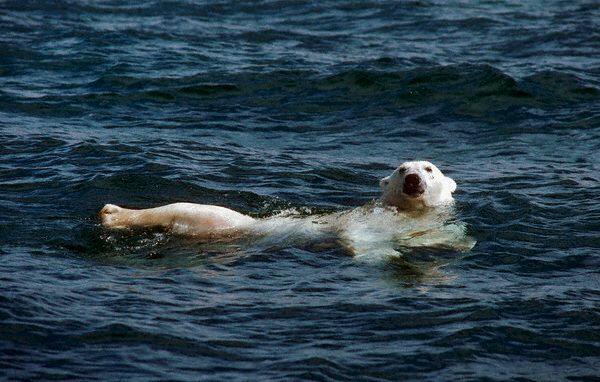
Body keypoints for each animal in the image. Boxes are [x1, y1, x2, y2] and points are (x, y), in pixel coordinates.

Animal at [99, 160, 474, 262]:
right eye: (400, 169)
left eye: (429, 169)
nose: (412, 178)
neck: (407, 214)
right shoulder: (368, 219)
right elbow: (361, 238)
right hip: (225, 219)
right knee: (188, 209)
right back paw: (113, 213)